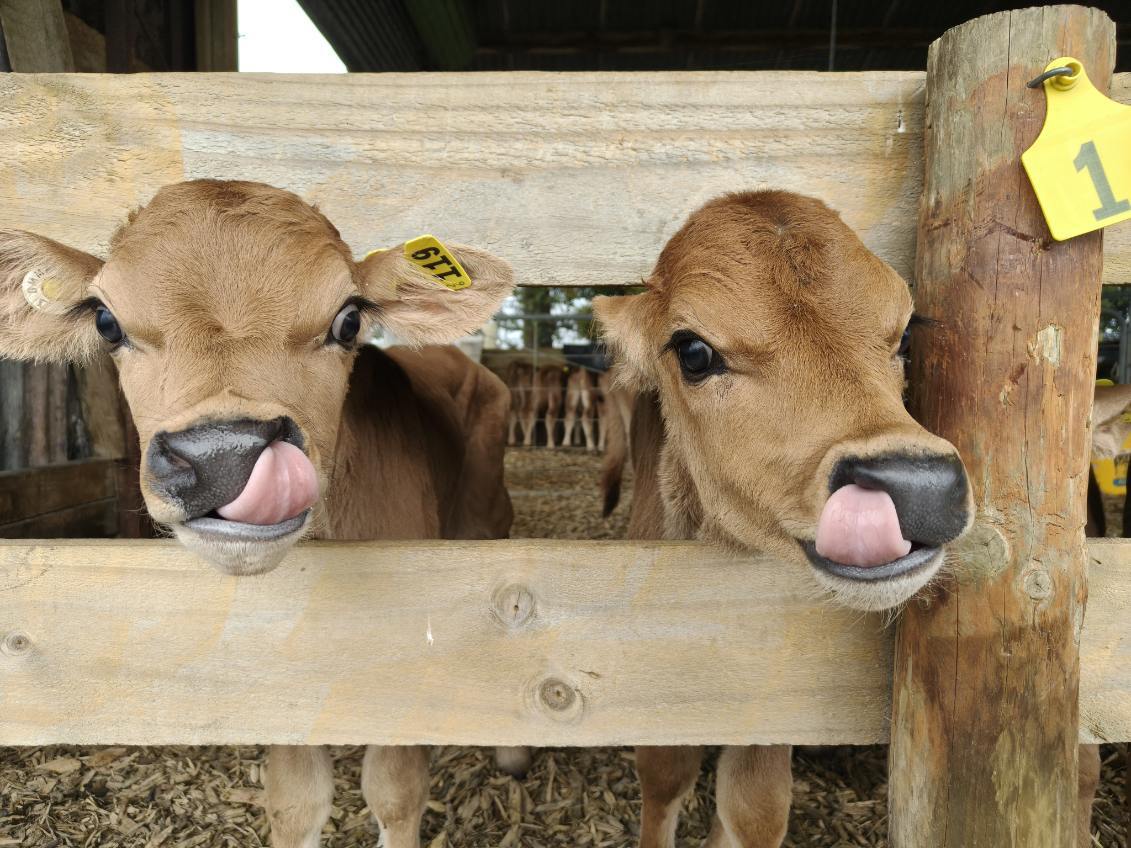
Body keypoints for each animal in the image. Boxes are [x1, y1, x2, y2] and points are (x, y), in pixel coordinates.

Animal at [0, 179, 517, 848]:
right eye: (106, 322)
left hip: (490, 514)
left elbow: (396, 794)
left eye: (349, 319)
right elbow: (297, 799)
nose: (223, 454)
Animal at [593, 189, 976, 848]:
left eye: (903, 336)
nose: (918, 486)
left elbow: (755, 804)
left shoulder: (774, 691)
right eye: (693, 351)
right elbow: (665, 774)